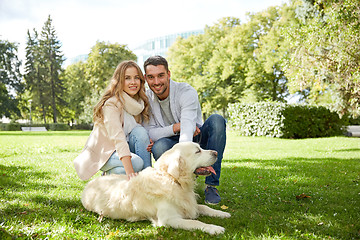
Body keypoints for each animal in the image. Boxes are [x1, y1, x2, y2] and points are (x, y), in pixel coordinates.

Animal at [81, 142, 231, 235]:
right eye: (197, 151)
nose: (216, 152)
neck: (172, 180)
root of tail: (88, 184)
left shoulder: (188, 204)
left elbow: (204, 207)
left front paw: (222, 213)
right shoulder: (169, 219)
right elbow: (195, 222)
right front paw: (214, 228)